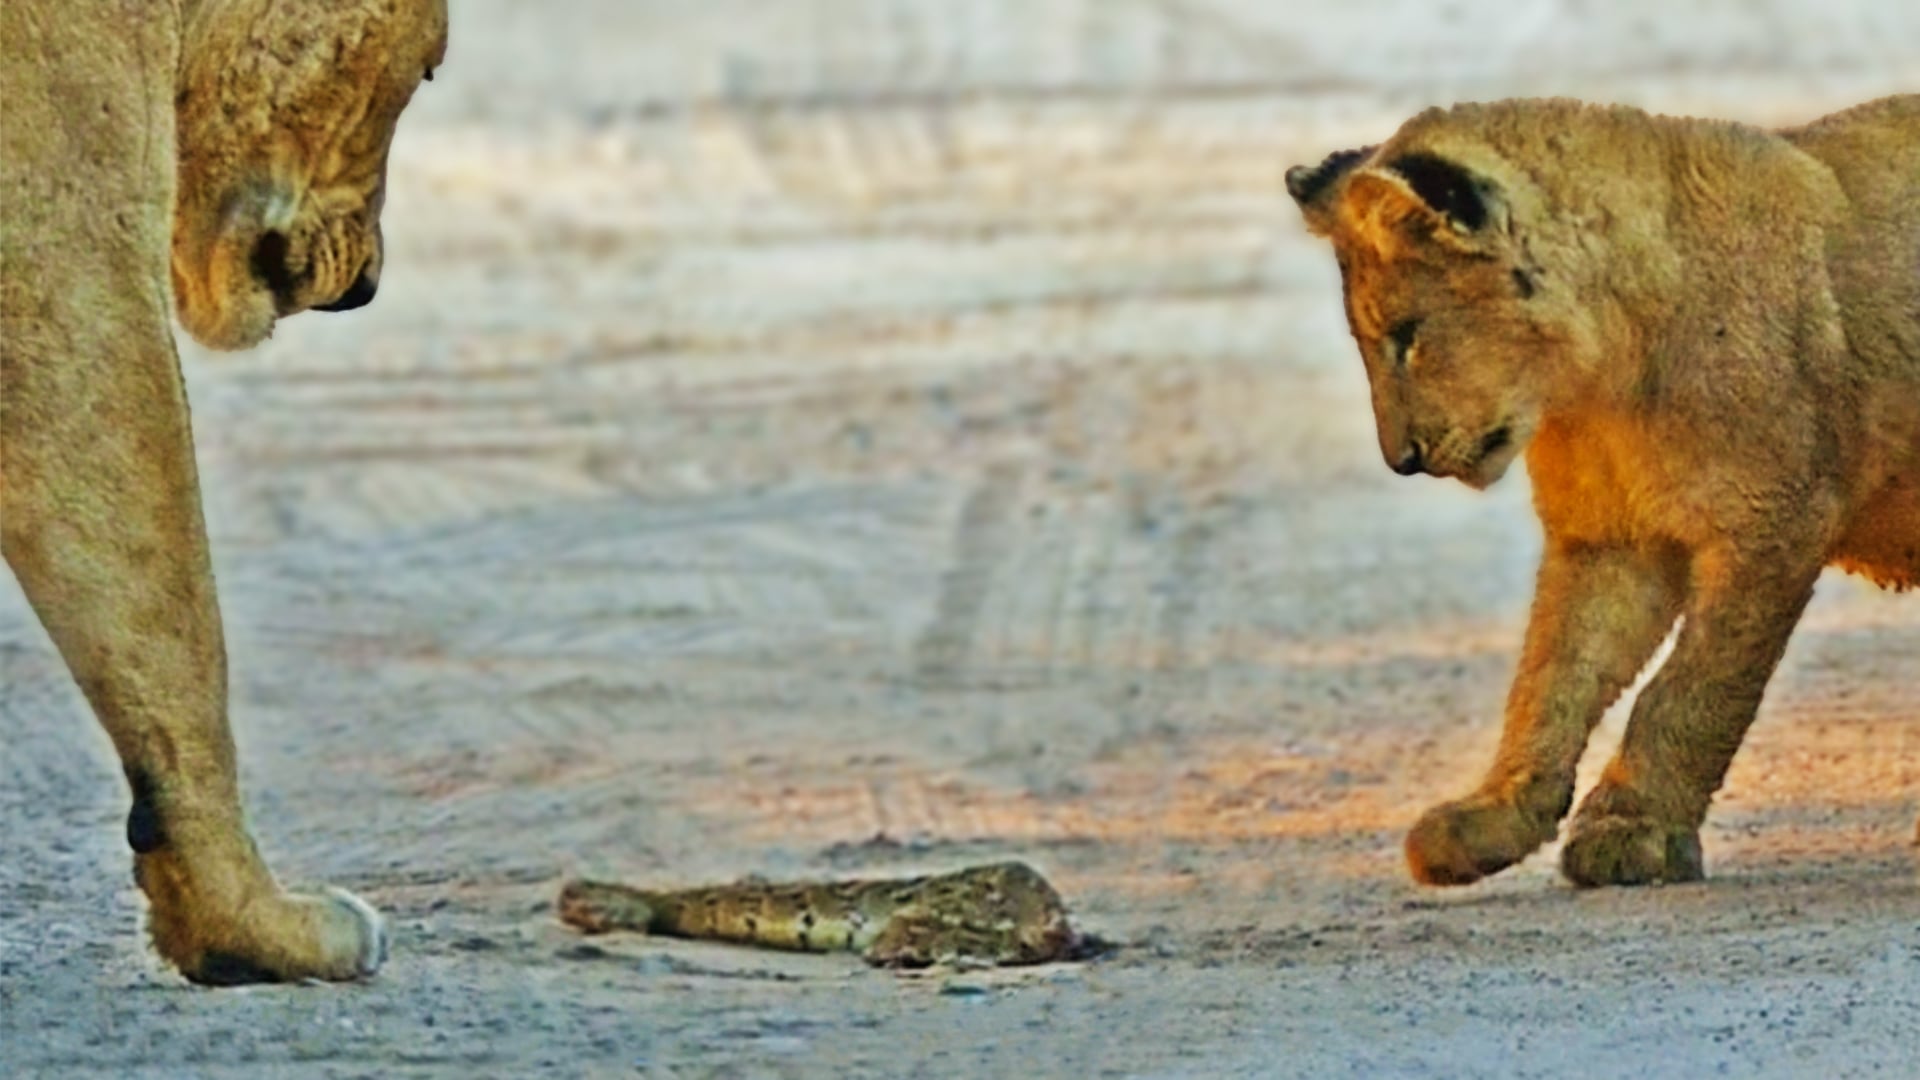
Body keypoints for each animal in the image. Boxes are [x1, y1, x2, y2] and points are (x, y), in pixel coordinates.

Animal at [1286, 95, 1918, 888]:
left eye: (1406, 334)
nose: (1401, 460)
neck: (1599, 384)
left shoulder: (1775, 523)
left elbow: (1690, 690)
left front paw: (1633, 831)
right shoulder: (1610, 544)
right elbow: (1551, 679)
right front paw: (1494, 819)